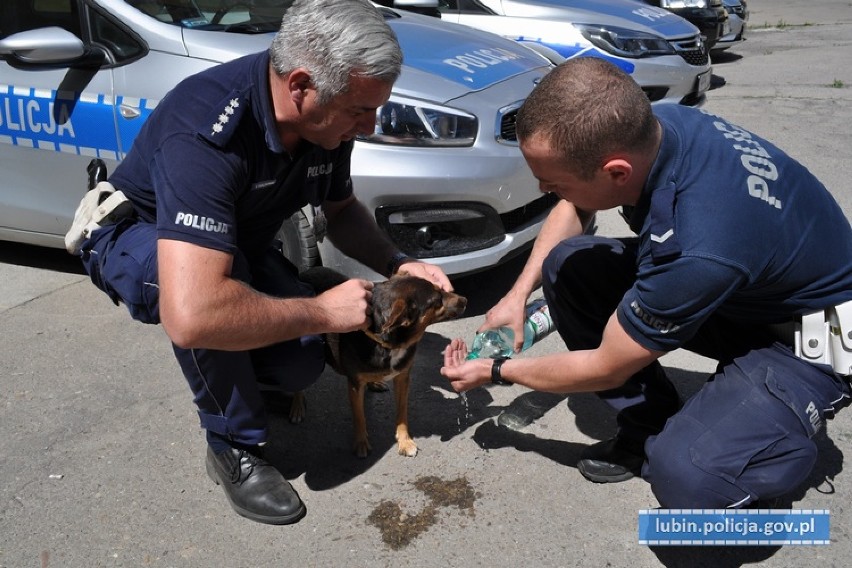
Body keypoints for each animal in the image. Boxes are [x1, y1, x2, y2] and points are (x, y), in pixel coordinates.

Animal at [298, 268, 466, 460]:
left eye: (441, 289)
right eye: (436, 299)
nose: (465, 300)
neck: (389, 344)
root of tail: (304, 271)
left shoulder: (402, 378)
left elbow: (402, 412)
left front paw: (404, 441)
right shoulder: (355, 385)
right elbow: (359, 416)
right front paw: (361, 443)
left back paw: (375, 383)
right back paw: (296, 405)